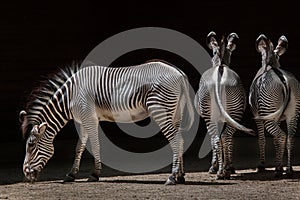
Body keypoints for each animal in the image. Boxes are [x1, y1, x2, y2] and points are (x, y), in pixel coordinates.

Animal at [20, 60, 195, 184]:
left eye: (31, 145)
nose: (25, 174)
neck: (70, 96)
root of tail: (180, 74)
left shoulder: (89, 118)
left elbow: (95, 145)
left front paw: (94, 174)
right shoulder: (81, 120)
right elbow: (79, 148)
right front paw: (71, 174)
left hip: (160, 110)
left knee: (176, 140)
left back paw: (172, 177)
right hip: (175, 113)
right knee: (180, 140)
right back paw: (180, 176)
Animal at [195, 31, 255, 180]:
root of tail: (220, 69)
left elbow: (214, 140)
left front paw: (215, 166)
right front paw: (225, 165)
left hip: (215, 113)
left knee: (219, 137)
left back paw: (222, 172)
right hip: (232, 112)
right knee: (224, 137)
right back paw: (224, 170)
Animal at [248, 34, 300, 177]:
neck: (270, 64)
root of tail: (283, 79)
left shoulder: (257, 116)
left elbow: (262, 139)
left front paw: (262, 165)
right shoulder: (279, 118)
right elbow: (275, 141)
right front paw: (281, 166)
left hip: (268, 113)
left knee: (282, 136)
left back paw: (277, 171)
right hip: (292, 114)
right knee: (290, 138)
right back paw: (289, 170)